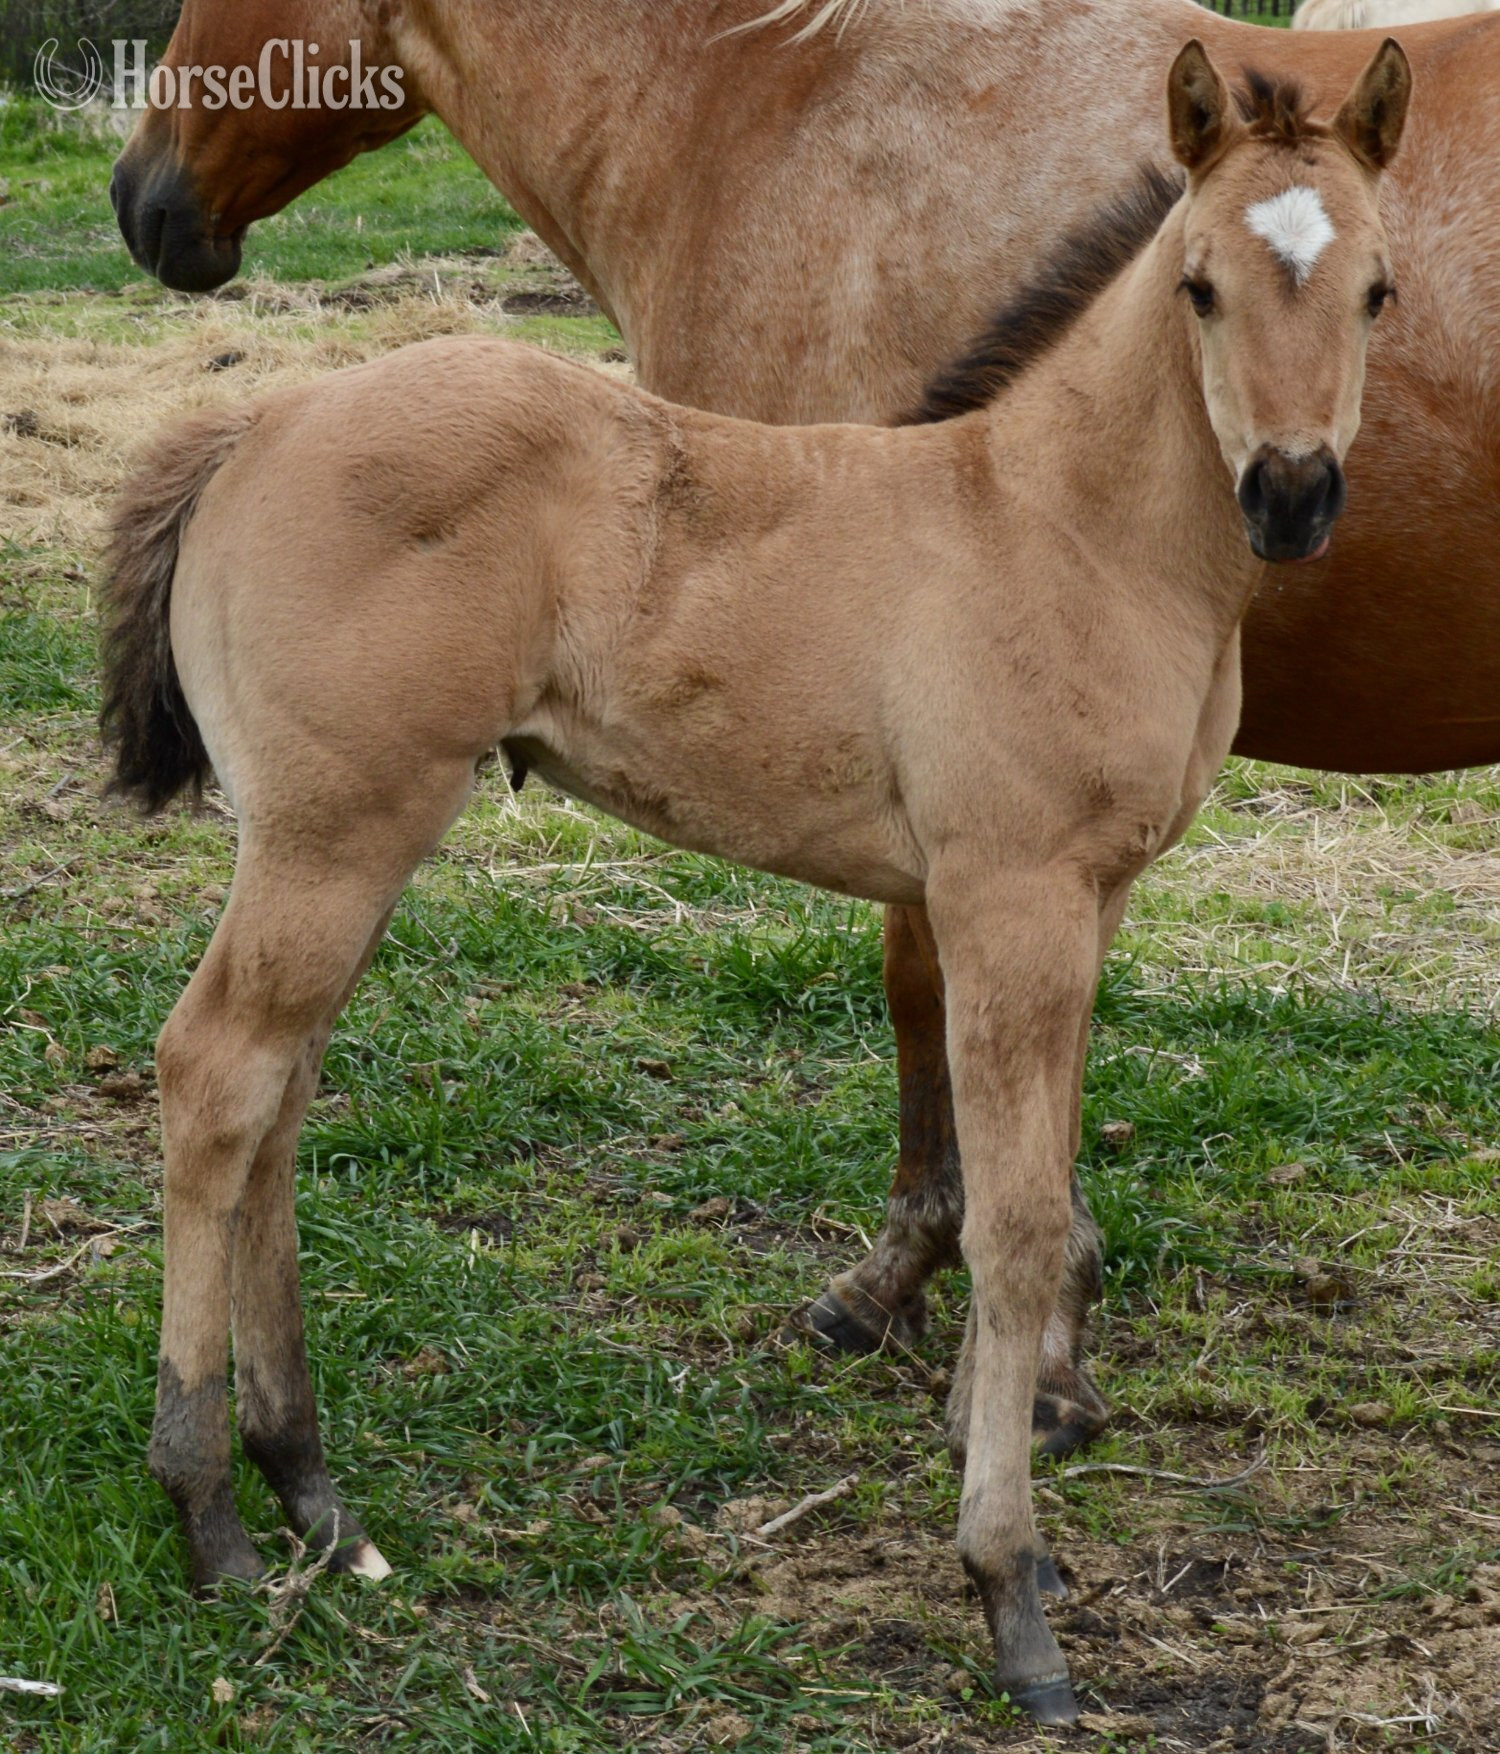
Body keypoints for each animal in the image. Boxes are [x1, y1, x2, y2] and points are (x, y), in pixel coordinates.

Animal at [101, 42, 1408, 1721]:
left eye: (1376, 289)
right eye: (1199, 287)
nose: (1291, 494)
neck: (1064, 529)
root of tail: (258, 425)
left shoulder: (1093, 896)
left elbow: (1043, 1191)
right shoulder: (1011, 894)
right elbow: (1015, 1222)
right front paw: (1011, 1595)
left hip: (337, 838)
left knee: (276, 1092)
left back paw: (314, 1491)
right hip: (336, 828)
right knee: (215, 1074)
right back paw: (209, 1509)